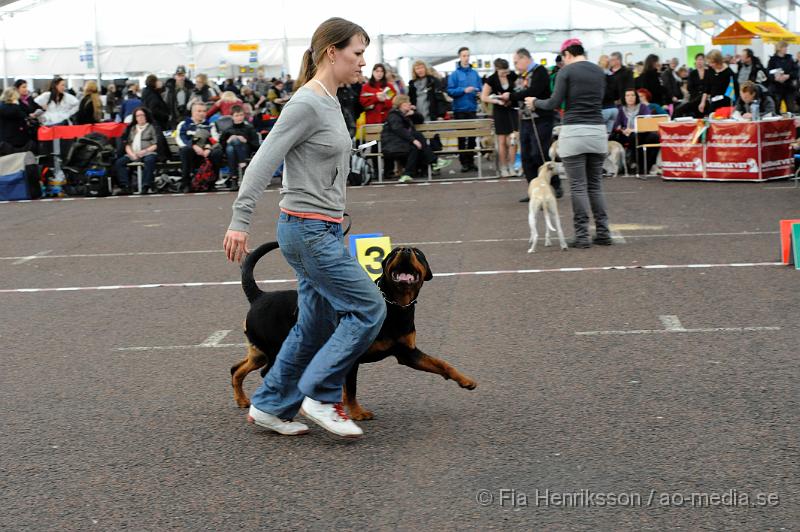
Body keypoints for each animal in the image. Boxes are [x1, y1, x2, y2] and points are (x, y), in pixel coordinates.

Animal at [228, 241, 476, 420]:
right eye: (394, 252)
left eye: (418, 253)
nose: (405, 249)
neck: (395, 306)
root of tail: (259, 296)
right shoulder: (353, 356)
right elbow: (352, 388)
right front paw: (357, 413)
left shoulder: (407, 353)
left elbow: (441, 363)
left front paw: (465, 380)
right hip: (278, 350)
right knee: (267, 374)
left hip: (260, 351)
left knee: (237, 369)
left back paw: (243, 400)